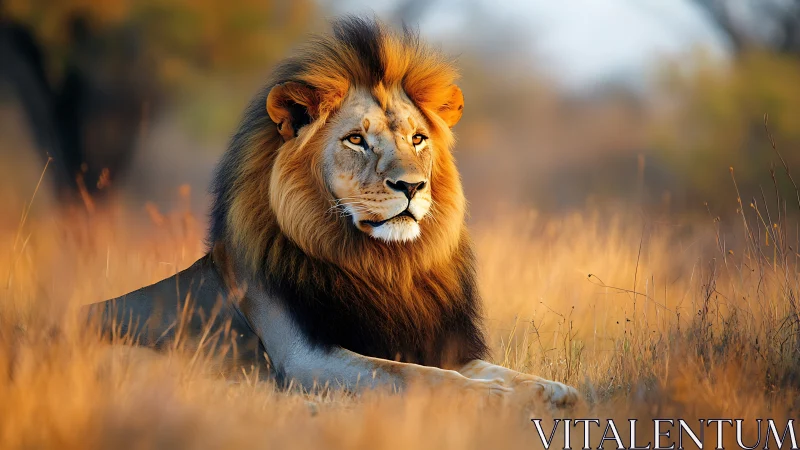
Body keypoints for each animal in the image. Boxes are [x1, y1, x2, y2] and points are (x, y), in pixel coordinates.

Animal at [84, 17, 580, 409]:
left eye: (418, 138)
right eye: (356, 140)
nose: (411, 186)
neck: (383, 267)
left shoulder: (433, 343)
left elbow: (488, 367)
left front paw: (553, 389)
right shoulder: (305, 357)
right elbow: (412, 375)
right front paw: (491, 397)